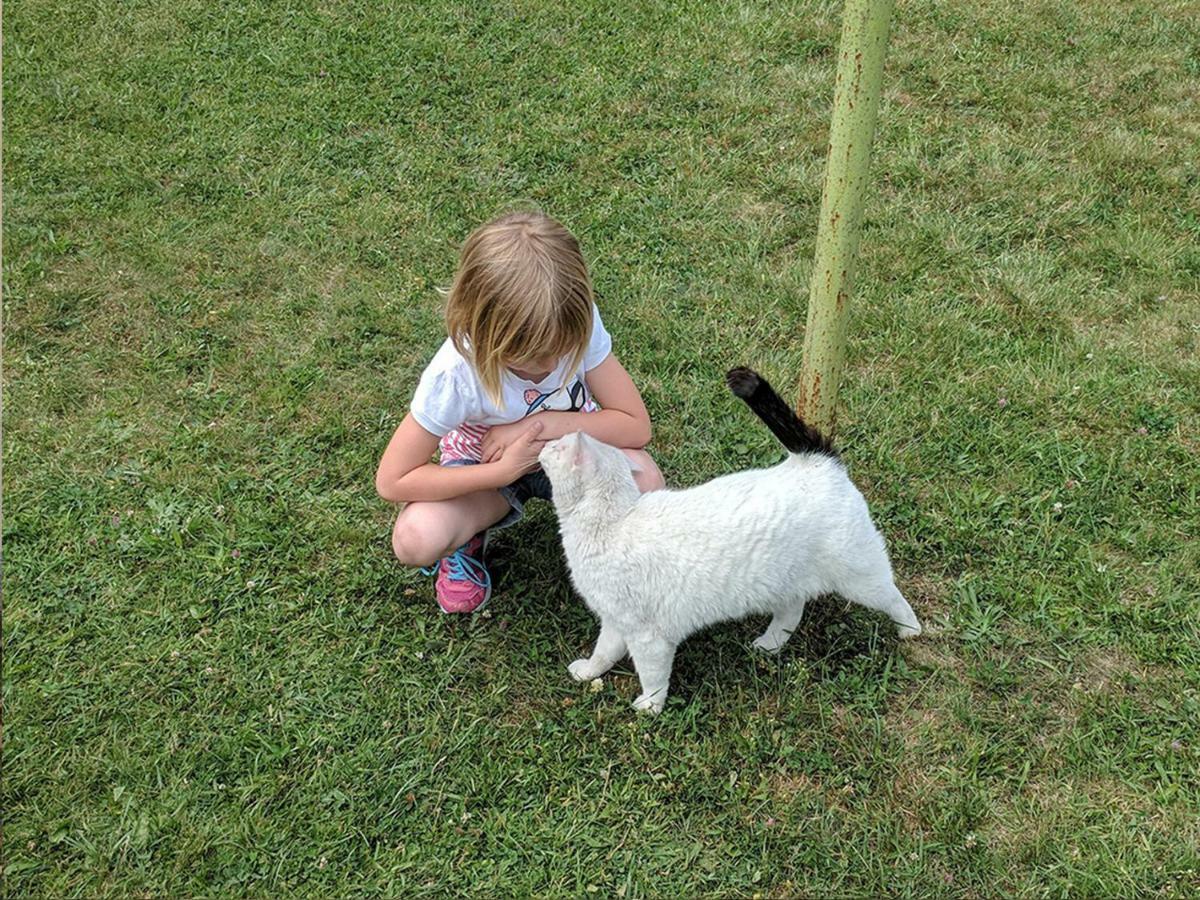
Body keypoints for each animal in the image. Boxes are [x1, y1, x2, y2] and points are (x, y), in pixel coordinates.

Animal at [540, 369, 921, 715]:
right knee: (792, 612)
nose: (542, 444)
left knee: (894, 597)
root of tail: (815, 461)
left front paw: (649, 708)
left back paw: (910, 630)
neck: (614, 520)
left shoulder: (649, 638)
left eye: (556, 445)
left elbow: (653, 677)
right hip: (783, 583)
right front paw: (588, 673)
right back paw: (769, 646)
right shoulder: (616, 622)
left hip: (861, 578)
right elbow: (602, 653)